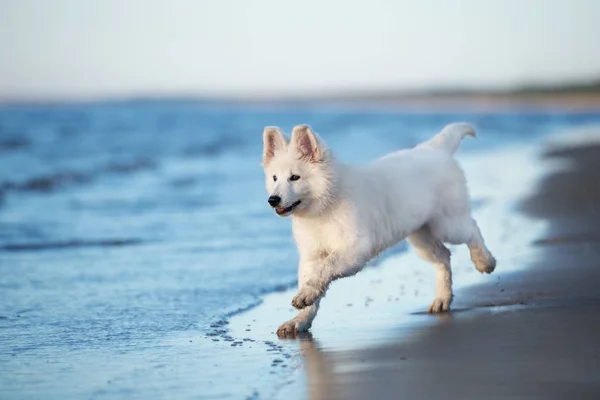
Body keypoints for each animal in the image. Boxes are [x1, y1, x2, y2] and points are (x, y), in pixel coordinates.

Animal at [260, 123, 494, 336]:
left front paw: (305, 297)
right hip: (421, 237)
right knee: (444, 256)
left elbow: (326, 267)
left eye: (295, 177)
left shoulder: (356, 249)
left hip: (448, 224)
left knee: (472, 229)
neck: (324, 207)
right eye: (274, 178)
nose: (272, 200)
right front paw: (299, 320)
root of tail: (433, 149)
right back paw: (442, 299)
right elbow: (313, 278)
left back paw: (485, 261)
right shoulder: (310, 256)